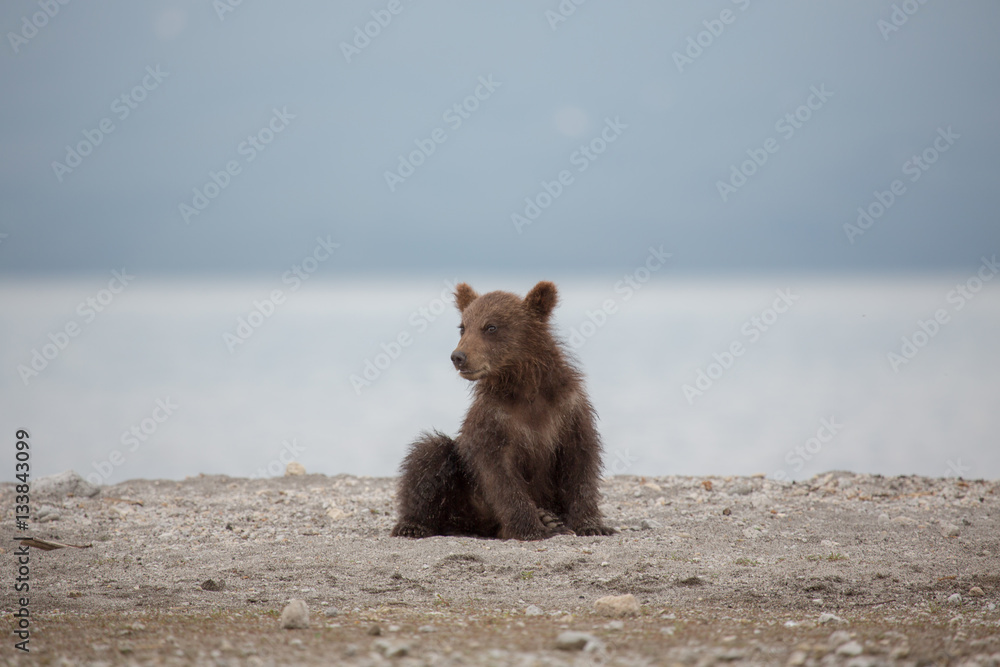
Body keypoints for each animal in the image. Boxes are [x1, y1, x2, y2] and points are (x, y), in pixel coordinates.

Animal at [390, 280, 615, 541]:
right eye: (463, 327)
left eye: (491, 326)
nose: (458, 356)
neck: (524, 386)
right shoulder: (494, 420)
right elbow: (499, 475)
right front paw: (532, 528)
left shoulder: (568, 411)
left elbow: (580, 463)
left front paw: (592, 524)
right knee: (429, 454)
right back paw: (412, 525)